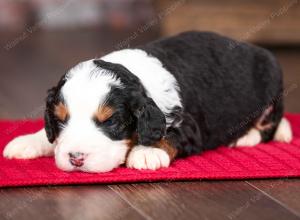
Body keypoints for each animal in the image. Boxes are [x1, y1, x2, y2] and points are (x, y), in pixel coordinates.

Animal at [2, 31, 292, 172]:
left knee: (270, 125)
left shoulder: (191, 126)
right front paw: (29, 141)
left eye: (111, 121)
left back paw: (246, 137)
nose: (76, 158)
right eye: (60, 119)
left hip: (272, 78)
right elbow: (48, 134)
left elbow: (169, 135)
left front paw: (146, 152)